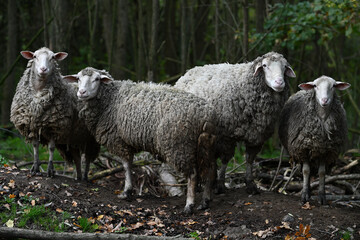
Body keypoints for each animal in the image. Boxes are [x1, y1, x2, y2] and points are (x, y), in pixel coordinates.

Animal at [10, 47, 100, 180]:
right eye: (35, 56)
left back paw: (84, 178)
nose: (43, 69)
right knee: (77, 157)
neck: (39, 93)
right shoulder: (32, 125)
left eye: (52, 58)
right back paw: (78, 177)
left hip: (90, 138)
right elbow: (35, 146)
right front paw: (35, 168)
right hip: (74, 137)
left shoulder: (54, 125)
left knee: (87, 158)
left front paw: (50, 170)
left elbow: (51, 148)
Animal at [63, 67, 217, 214]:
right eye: (78, 79)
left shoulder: (119, 140)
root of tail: (205, 116)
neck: (110, 100)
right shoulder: (126, 142)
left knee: (192, 175)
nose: (81, 92)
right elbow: (129, 165)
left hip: (179, 145)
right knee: (210, 171)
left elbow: (126, 166)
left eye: (96, 79)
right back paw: (205, 202)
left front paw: (126, 191)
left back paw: (189, 205)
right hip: (206, 145)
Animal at [174, 51, 296, 194]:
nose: (279, 82)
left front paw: (250, 184)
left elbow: (249, 159)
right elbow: (225, 159)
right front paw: (221, 185)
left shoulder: (256, 135)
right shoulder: (226, 135)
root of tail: (188, 72)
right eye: (265, 66)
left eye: (284, 67)